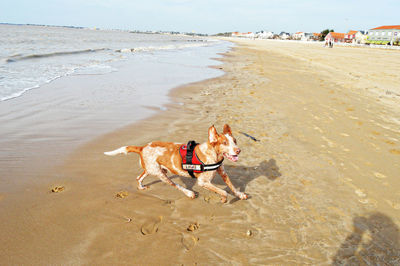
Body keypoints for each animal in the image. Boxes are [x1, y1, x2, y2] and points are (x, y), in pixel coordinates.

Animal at [104, 123, 247, 203]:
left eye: (235, 141)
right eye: (225, 143)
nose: (238, 150)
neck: (212, 154)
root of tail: (142, 147)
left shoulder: (223, 173)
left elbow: (232, 187)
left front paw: (240, 195)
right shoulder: (203, 182)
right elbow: (224, 191)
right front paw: (224, 199)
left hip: (153, 169)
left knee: (138, 177)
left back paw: (141, 187)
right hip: (162, 175)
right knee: (174, 184)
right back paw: (189, 193)